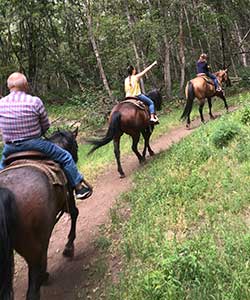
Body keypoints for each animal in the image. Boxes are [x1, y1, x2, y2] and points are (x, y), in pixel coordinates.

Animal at [0, 129, 79, 300]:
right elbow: (74, 213)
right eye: (76, 146)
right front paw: (69, 247)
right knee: (32, 292)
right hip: (31, 248)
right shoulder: (68, 195)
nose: (76, 158)